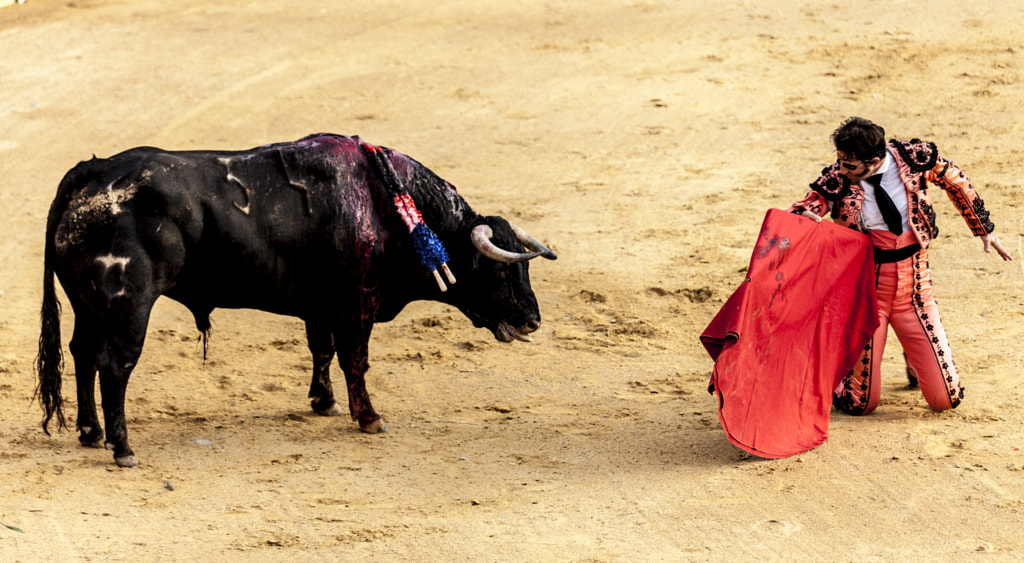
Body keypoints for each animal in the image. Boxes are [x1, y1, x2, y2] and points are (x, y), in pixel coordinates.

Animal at [36, 135, 557, 470]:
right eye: (500, 268)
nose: (533, 320)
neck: (386, 206)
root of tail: (92, 171)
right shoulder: (357, 304)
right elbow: (354, 359)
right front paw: (369, 418)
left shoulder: (321, 306)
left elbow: (321, 350)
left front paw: (324, 402)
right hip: (129, 308)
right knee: (114, 366)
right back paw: (122, 448)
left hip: (88, 305)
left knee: (82, 354)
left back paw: (90, 432)